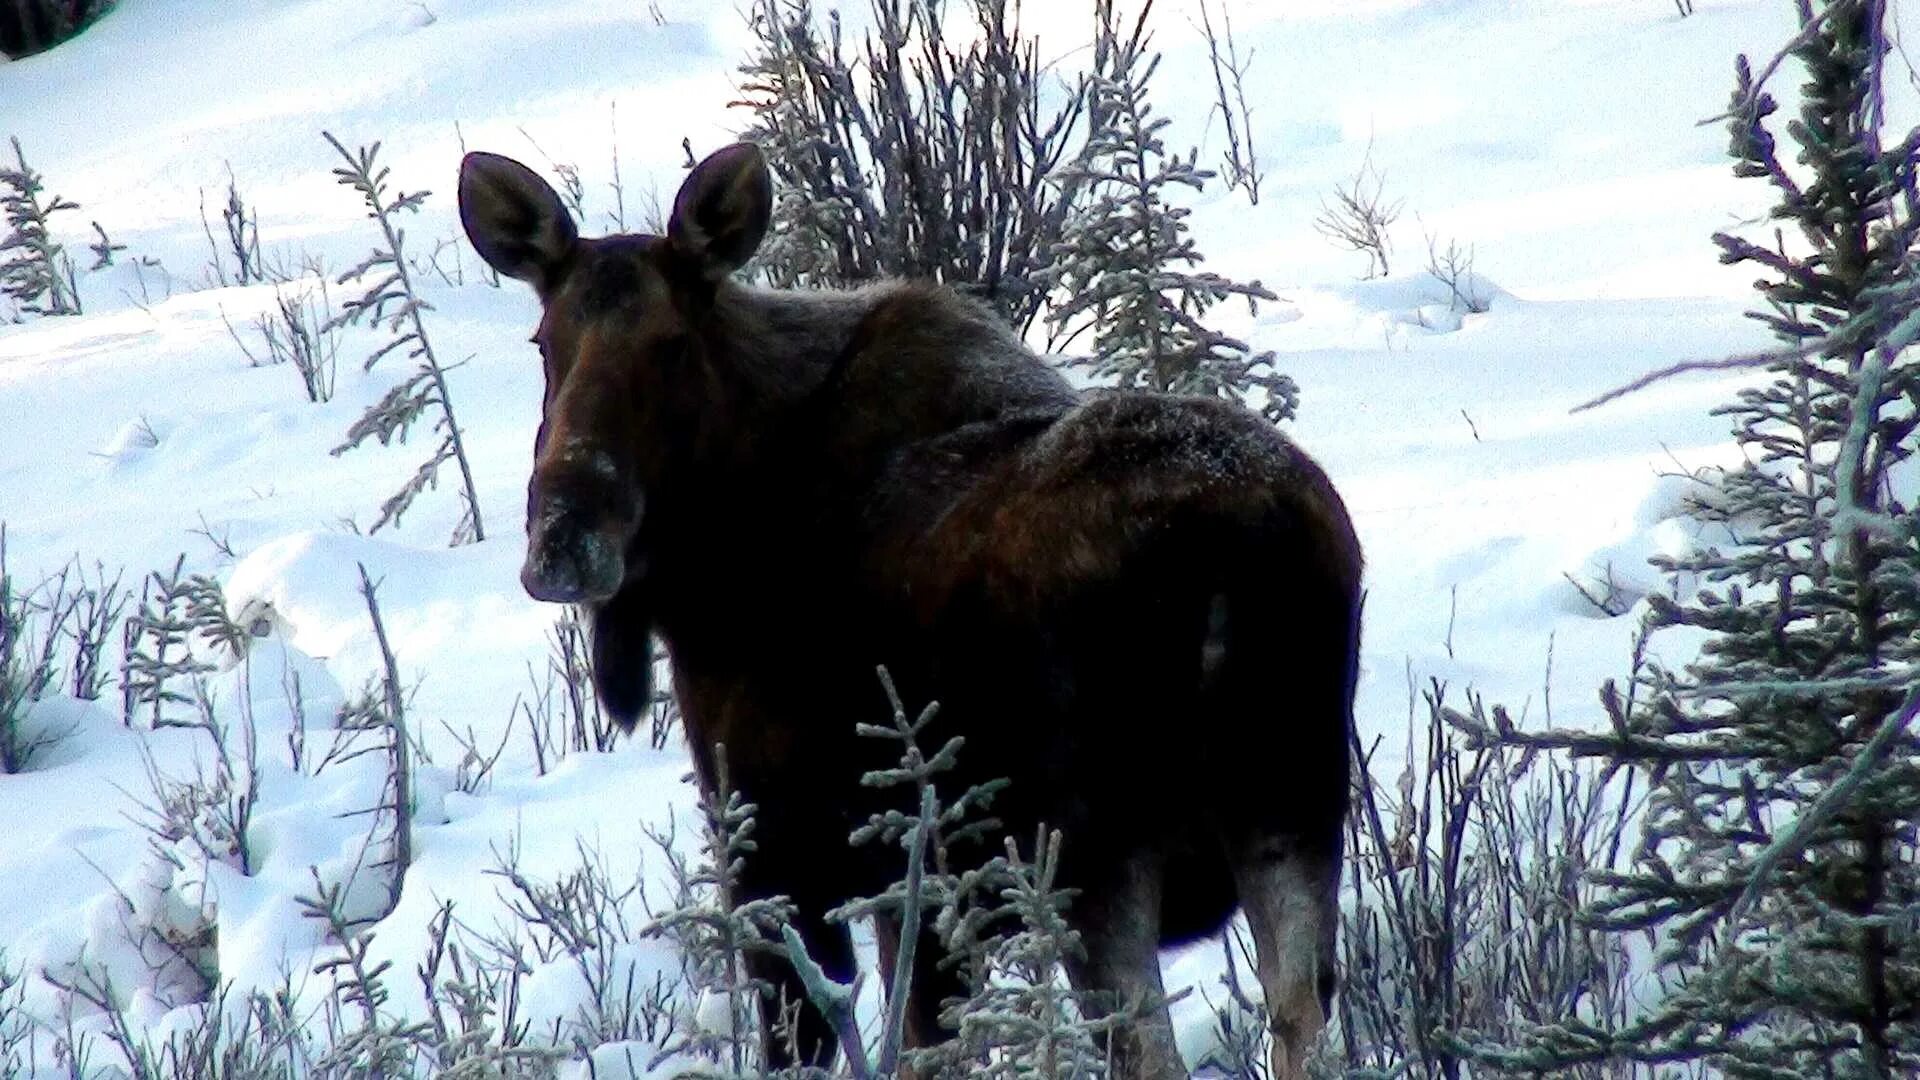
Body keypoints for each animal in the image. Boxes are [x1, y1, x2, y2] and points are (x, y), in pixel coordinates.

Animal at [460, 143, 1367, 1076]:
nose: (564, 538)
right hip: (1296, 804)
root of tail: (1240, 556)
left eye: (673, 346)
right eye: (545, 341)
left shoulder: (784, 853)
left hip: (1098, 851)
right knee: (1301, 1018)